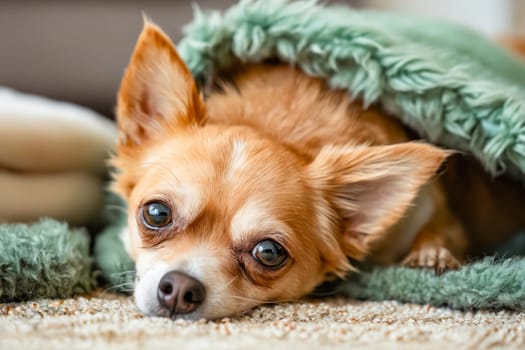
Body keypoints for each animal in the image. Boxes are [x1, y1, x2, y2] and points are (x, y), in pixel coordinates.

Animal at [111, 22, 524, 320]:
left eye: (269, 252)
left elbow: (446, 229)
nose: (180, 288)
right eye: (157, 214)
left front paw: (432, 254)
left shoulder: (435, 207)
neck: (274, 126)